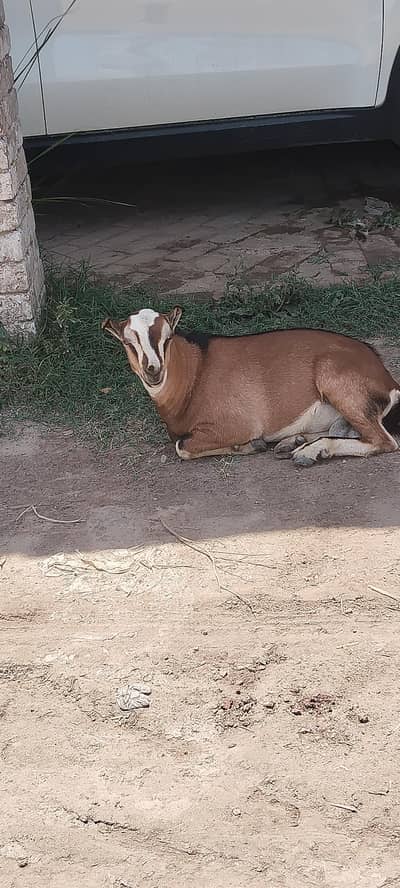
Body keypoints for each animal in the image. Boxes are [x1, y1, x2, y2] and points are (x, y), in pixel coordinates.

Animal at [102, 307, 400, 468]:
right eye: (128, 343)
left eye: (168, 337)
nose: (153, 369)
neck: (194, 373)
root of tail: (387, 379)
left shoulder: (236, 424)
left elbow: (182, 447)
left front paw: (251, 446)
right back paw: (295, 444)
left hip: (335, 381)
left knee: (383, 441)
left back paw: (307, 452)